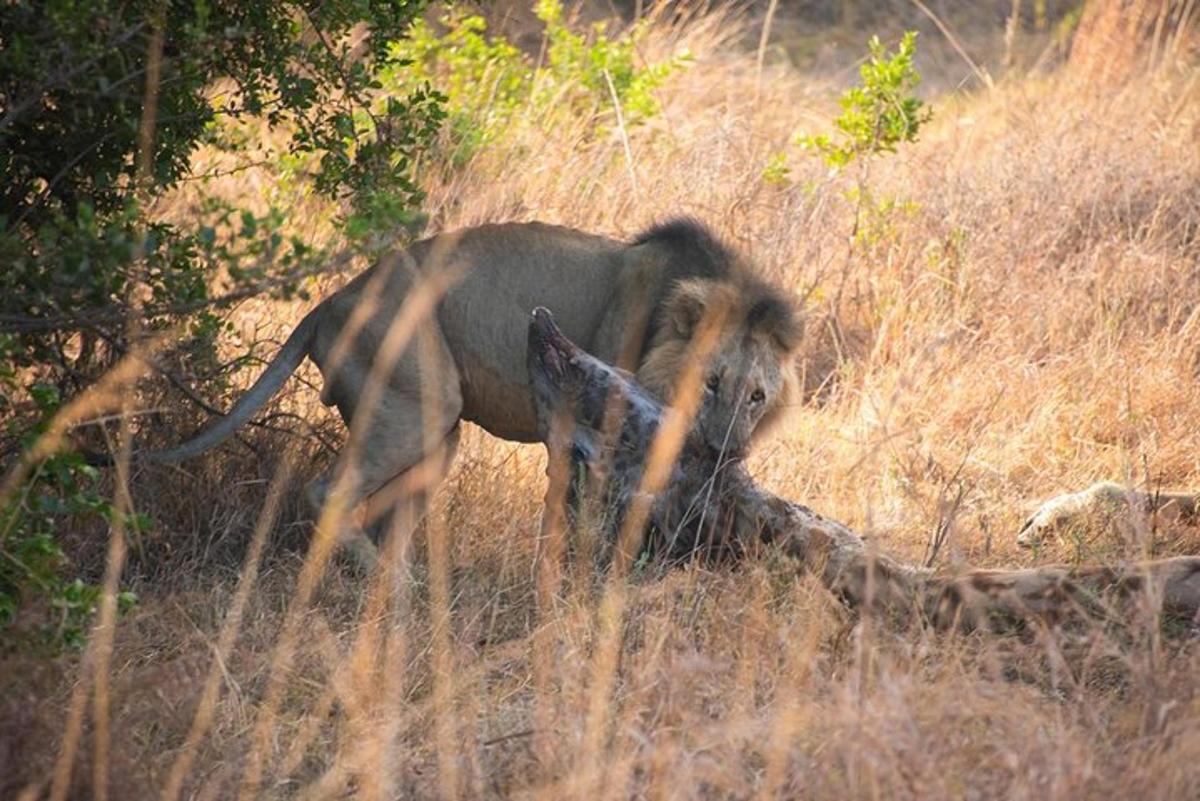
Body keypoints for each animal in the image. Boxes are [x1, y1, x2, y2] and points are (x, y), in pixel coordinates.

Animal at [131, 219, 801, 565]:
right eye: (712, 382)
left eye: (758, 396)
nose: (728, 450)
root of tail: (327, 305)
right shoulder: (574, 428)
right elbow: (571, 519)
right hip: (417, 405)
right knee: (327, 493)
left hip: (435, 429)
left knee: (387, 512)